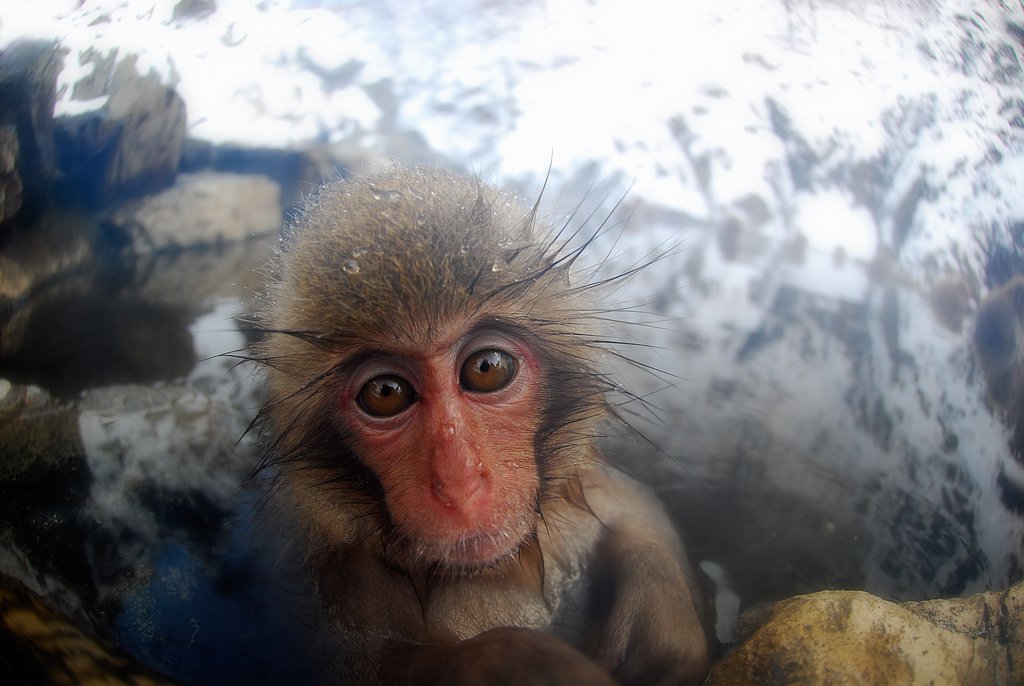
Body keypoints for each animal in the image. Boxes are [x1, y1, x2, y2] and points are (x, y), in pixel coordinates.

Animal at [251, 166, 710, 685]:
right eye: (385, 394)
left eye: (486, 368)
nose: (460, 481)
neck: (502, 569)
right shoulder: (349, 588)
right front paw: (516, 663)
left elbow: (642, 514)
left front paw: (657, 601)